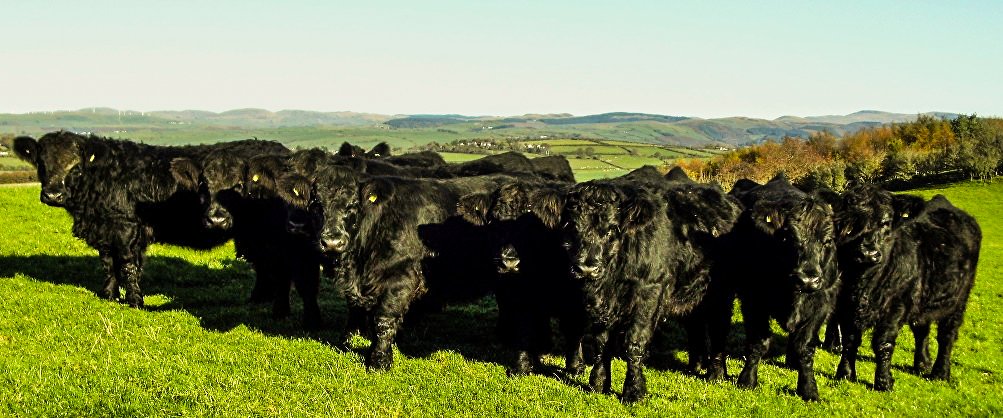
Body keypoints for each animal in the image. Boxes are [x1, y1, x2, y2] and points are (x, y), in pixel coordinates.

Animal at [12, 131, 287, 308]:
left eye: (76, 167)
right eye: (41, 163)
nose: (52, 195)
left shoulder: (126, 228)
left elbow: (127, 264)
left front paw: (135, 301)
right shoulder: (105, 230)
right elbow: (108, 263)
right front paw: (109, 295)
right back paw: (258, 300)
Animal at [714, 173, 839, 401]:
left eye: (828, 241)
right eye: (787, 238)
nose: (807, 280)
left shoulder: (822, 303)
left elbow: (805, 347)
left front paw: (809, 389)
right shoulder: (753, 299)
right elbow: (758, 342)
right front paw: (747, 380)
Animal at [831, 185, 980, 391]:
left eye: (885, 222)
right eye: (849, 223)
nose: (867, 253)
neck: (862, 284)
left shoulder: (896, 306)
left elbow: (883, 342)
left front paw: (884, 382)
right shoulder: (845, 304)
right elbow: (850, 339)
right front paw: (845, 374)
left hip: (959, 298)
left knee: (947, 335)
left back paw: (940, 373)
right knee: (921, 330)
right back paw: (922, 364)